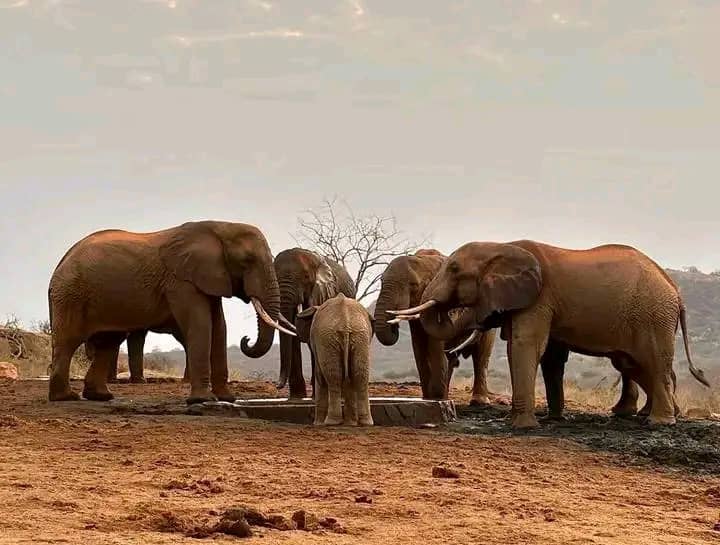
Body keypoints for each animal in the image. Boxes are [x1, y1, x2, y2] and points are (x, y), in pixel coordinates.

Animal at [47, 220, 295, 404]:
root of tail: (61, 261)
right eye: (247, 261)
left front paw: (227, 399)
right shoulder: (181, 281)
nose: (246, 339)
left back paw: (100, 396)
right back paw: (65, 397)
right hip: (71, 295)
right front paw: (202, 401)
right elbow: (201, 324)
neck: (219, 227)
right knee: (69, 341)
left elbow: (219, 326)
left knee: (109, 342)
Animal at [295, 293, 374, 426]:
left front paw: (318, 424)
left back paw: (331, 422)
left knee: (333, 377)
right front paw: (351, 423)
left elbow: (319, 377)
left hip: (328, 340)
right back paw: (365, 423)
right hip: (360, 337)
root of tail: (346, 323)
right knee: (360, 375)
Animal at [373, 249, 497, 403]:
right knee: (452, 359)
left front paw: (436, 398)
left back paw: (478, 401)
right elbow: (419, 347)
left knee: (481, 355)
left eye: (413, 285)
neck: (425, 260)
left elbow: (435, 344)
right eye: (381, 281)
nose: (394, 326)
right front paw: (428, 399)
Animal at [390, 240, 710, 429]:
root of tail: (675, 290)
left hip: (653, 316)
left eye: (455, 269)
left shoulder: (538, 299)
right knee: (635, 364)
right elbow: (548, 356)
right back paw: (661, 415)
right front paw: (551, 419)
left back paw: (660, 422)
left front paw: (521, 427)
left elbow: (525, 345)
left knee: (653, 361)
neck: (503, 246)